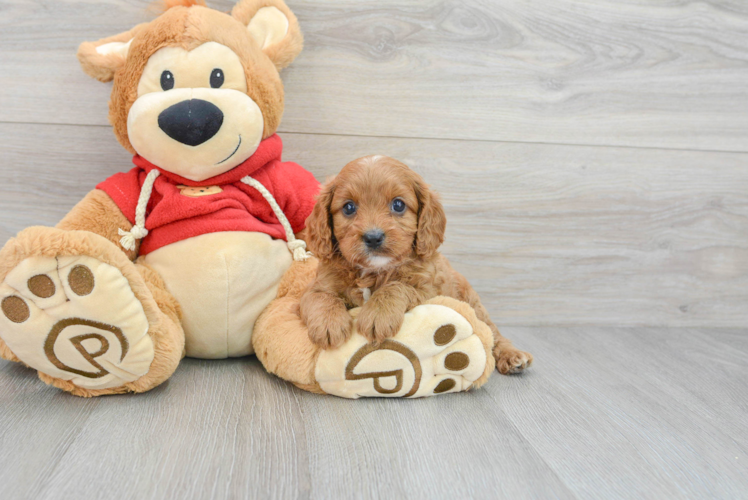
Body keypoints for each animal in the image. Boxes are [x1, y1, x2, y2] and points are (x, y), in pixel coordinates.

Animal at [298, 154, 532, 374]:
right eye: (348, 207)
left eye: (398, 205)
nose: (373, 237)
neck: (373, 271)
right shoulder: (314, 288)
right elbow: (320, 297)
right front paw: (330, 324)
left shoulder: (430, 292)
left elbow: (398, 286)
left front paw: (377, 314)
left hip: (474, 304)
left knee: (493, 332)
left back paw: (512, 356)